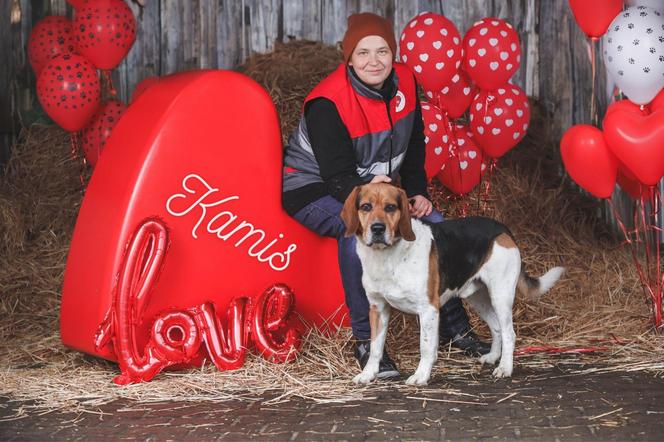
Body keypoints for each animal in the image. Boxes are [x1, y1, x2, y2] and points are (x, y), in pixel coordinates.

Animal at [342, 181, 564, 386]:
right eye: (366, 207)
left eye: (390, 207)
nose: (377, 229)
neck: (387, 257)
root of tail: (502, 228)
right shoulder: (377, 308)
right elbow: (375, 347)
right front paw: (369, 374)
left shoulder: (428, 309)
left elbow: (426, 347)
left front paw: (421, 376)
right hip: (477, 297)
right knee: (496, 327)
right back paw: (493, 357)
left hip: (500, 296)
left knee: (509, 333)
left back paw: (504, 368)